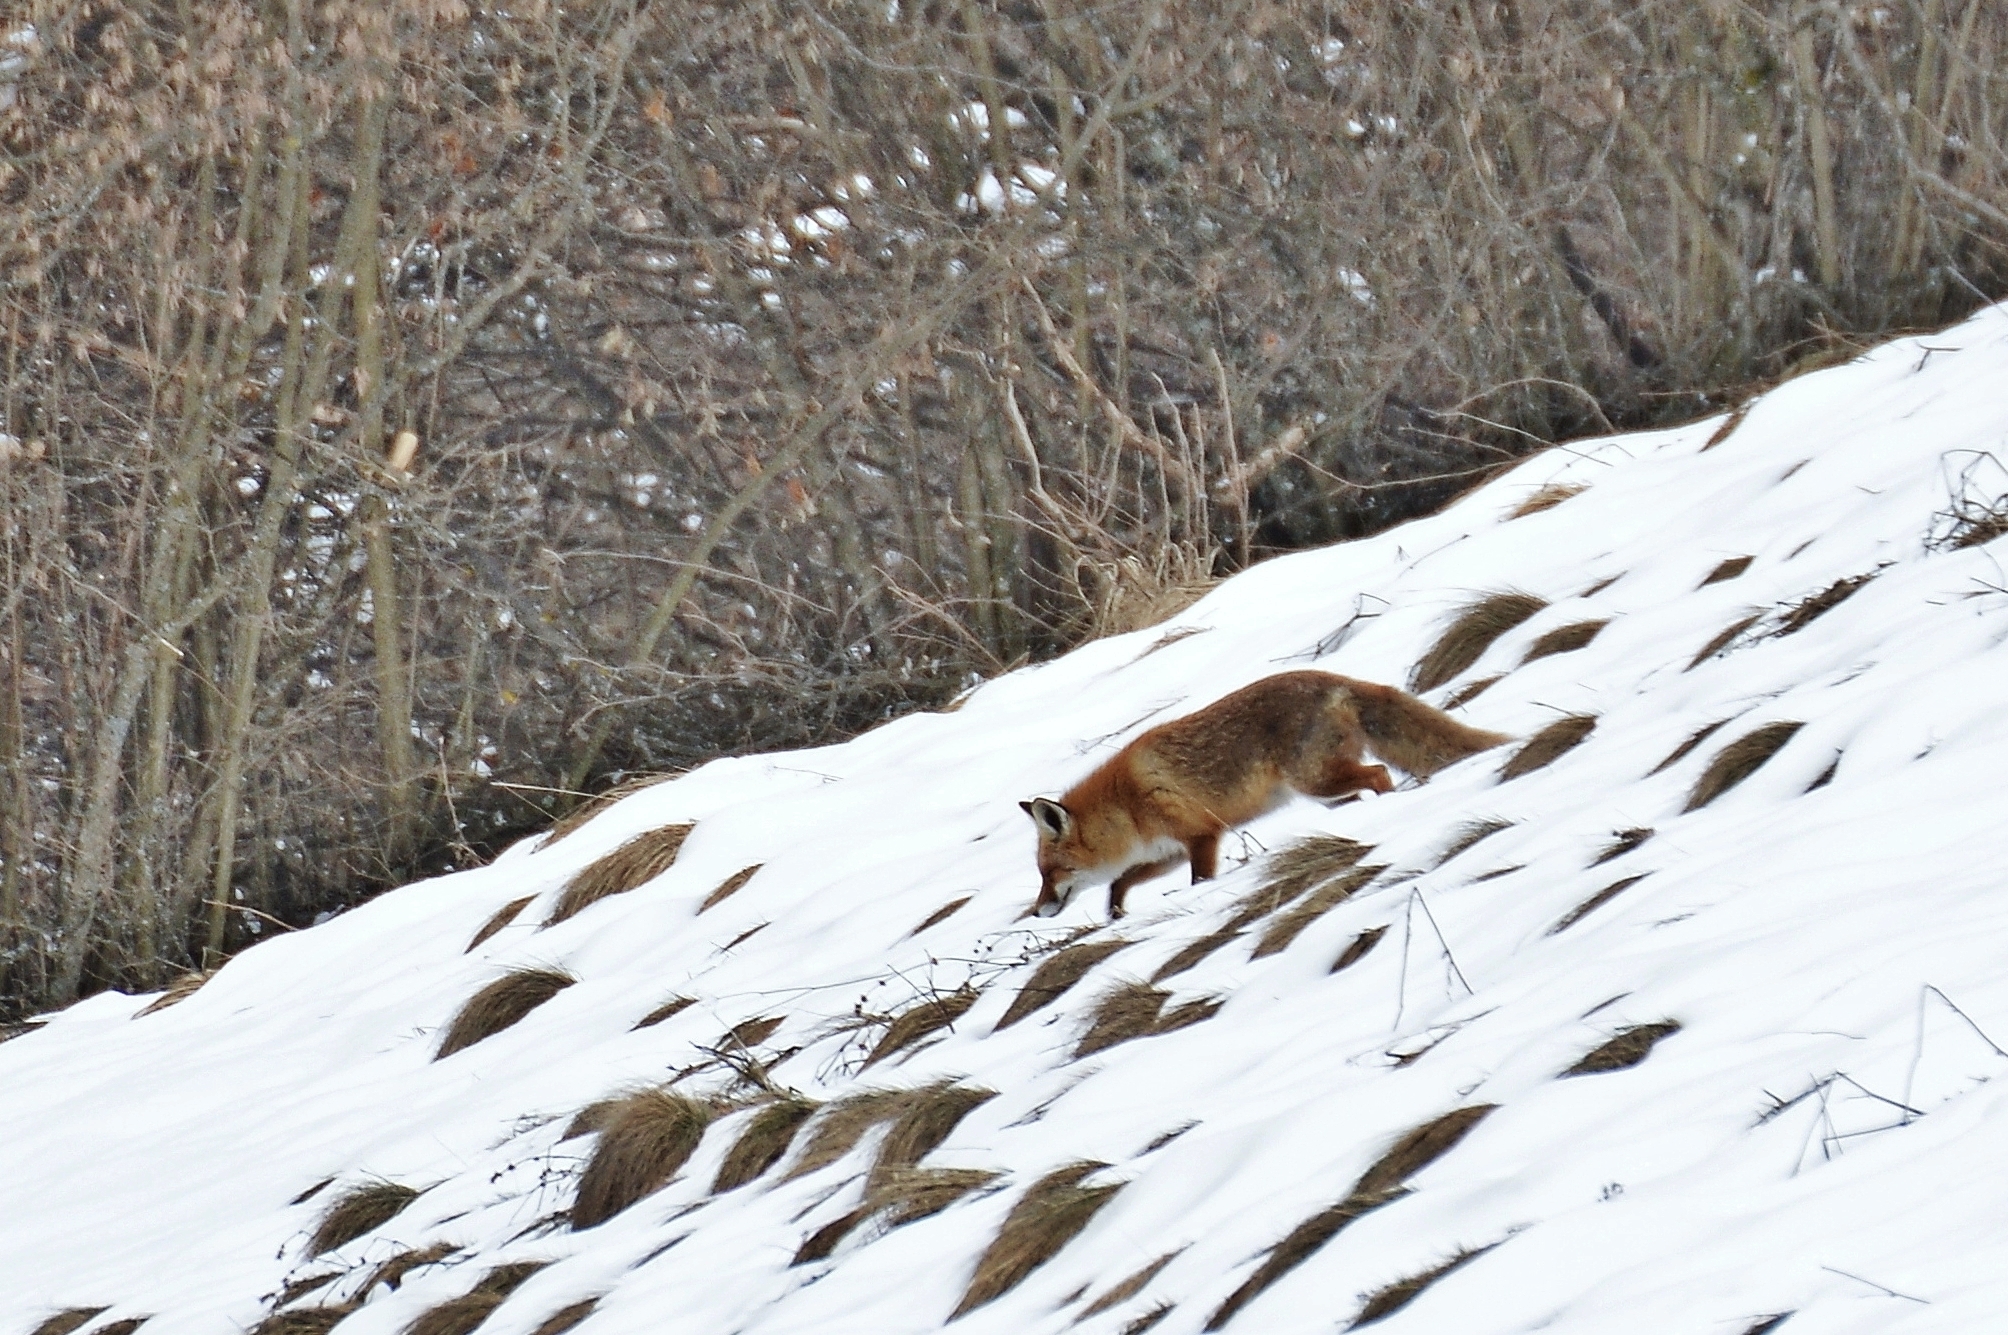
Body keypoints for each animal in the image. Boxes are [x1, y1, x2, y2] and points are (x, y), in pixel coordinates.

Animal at [1021, 670, 1510, 919]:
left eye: (1050, 872)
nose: (1037, 911)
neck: (1126, 806)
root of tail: (1334, 677)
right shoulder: (1168, 850)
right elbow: (1120, 881)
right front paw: (1115, 913)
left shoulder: (1202, 836)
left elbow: (1200, 882)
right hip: (1326, 792)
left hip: (1318, 780)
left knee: (1380, 775)